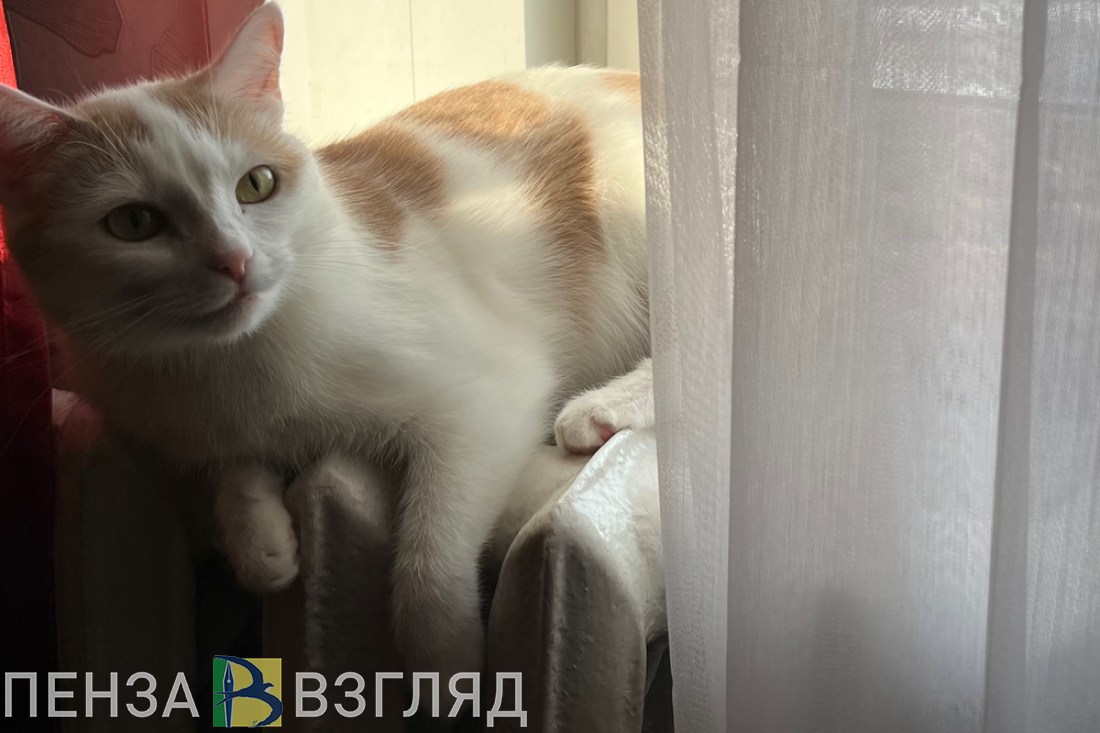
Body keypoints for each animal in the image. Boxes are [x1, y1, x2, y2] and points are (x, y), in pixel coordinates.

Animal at [0, 3, 654, 686]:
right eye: (133, 223)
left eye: (256, 184)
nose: (234, 261)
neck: (229, 361)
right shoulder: (182, 422)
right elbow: (229, 459)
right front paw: (257, 539)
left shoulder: (490, 394)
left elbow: (429, 552)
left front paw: (447, 665)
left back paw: (602, 409)